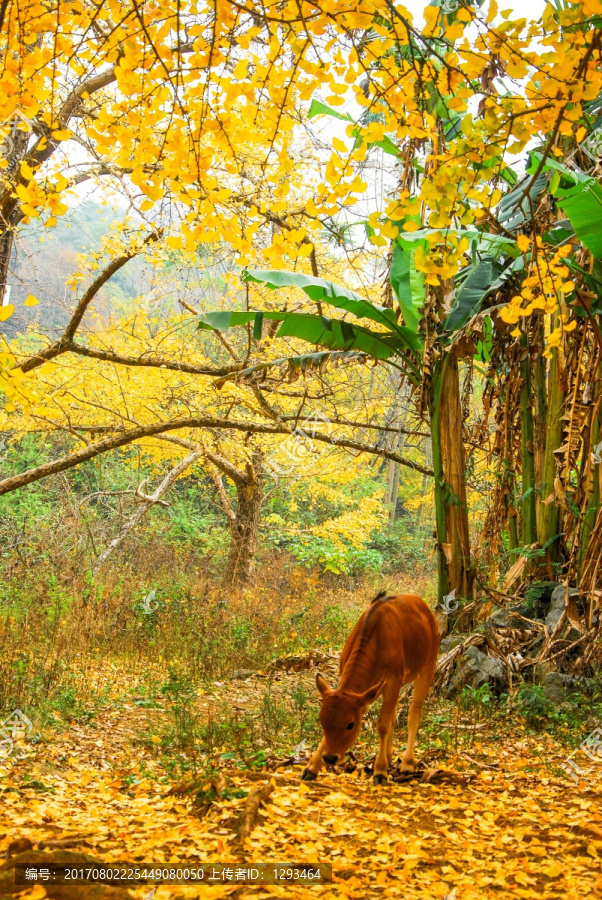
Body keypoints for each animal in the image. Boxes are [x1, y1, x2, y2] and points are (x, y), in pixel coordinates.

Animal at [300, 592, 436, 780]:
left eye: (350, 724)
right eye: (322, 721)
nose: (330, 757)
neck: (376, 642)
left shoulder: (393, 680)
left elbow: (383, 724)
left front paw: (380, 770)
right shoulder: (363, 692)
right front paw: (312, 767)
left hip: (428, 667)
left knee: (413, 714)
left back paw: (407, 763)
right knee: (394, 714)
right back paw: (389, 755)